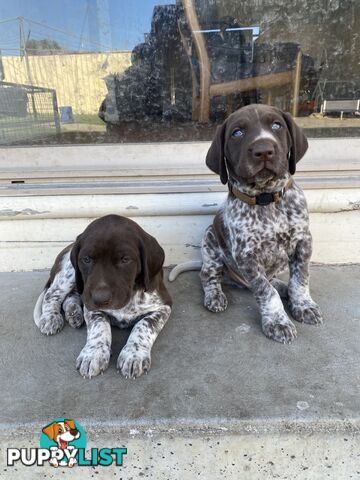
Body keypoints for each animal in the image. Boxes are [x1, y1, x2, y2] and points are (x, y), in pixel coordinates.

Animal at [34, 215, 172, 378]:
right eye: (86, 259)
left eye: (125, 259)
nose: (100, 299)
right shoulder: (91, 306)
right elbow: (99, 326)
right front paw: (94, 353)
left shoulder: (163, 306)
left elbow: (144, 324)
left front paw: (133, 354)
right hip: (70, 273)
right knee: (52, 294)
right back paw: (51, 317)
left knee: (71, 296)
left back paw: (73, 313)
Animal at [171, 103, 324, 344]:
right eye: (237, 133)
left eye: (277, 125)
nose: (264, 150)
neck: (265, 198)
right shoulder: (247, 256)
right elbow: (266, 292)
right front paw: (278, 321)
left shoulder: (303, 242)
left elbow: (300, 279)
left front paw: (303, 305)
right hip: (210, 243)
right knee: (207, 275)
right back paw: (215, 295)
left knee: (273, 281)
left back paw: (283, 288)